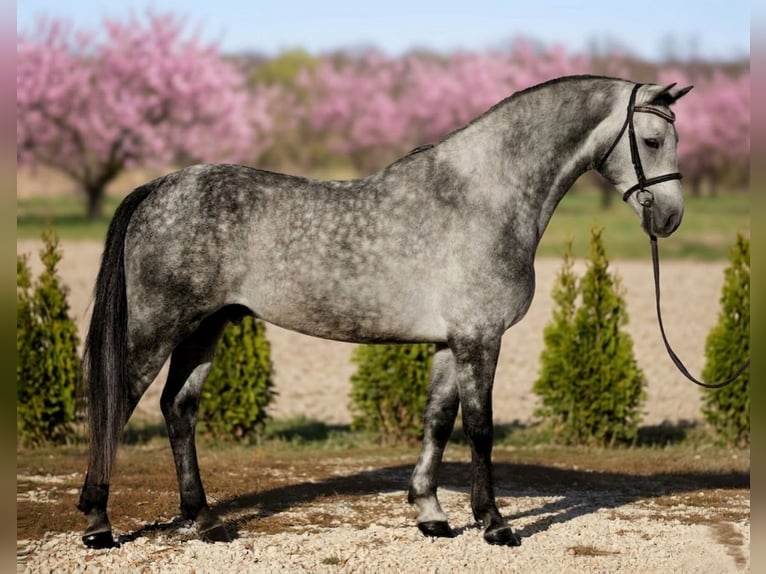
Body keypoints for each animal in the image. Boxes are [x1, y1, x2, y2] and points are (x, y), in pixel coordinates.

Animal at [77, 75, 692, 548]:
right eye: (652, 138)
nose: (669, 218)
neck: (482, 196)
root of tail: (161, 187)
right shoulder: (479, 338)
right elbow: (481, 428)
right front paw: (494, 524)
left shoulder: (450, 342)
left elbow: (438, 421)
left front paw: (431, 515)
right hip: (156, 329)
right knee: (116, 405)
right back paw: (98, 524)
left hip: (205, 327)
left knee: (178, 409)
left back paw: (204, 520)